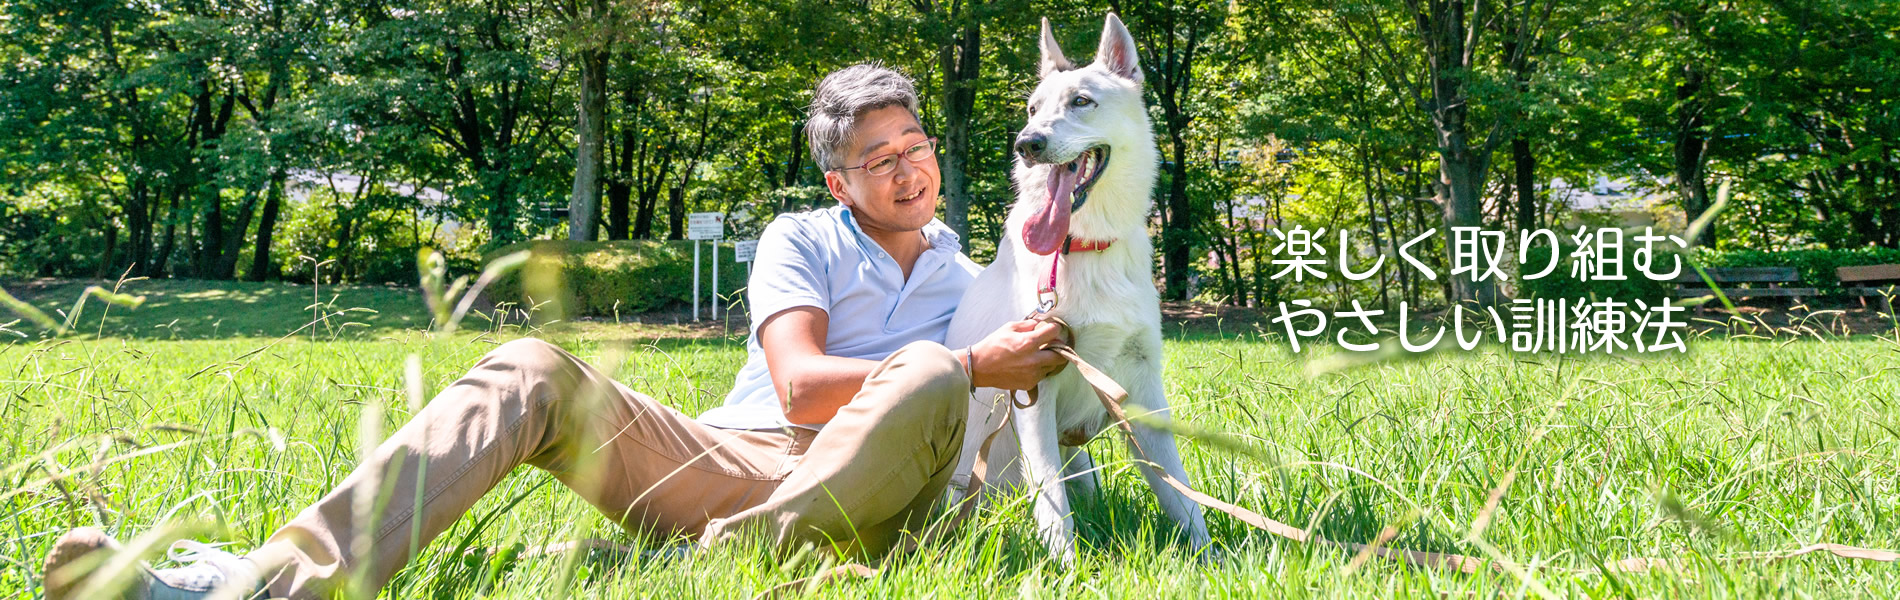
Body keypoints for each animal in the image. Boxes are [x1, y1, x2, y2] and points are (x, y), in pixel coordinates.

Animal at [950, 15, 1216, 565]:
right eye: (1033, 109)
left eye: (1081, 101)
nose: (1026, 144)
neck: (1085, 247)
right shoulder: (1032, 390)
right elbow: (1052, 502)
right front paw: (1066, 570)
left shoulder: (1143, 390)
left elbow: (1178, 489)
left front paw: (1211, 559)